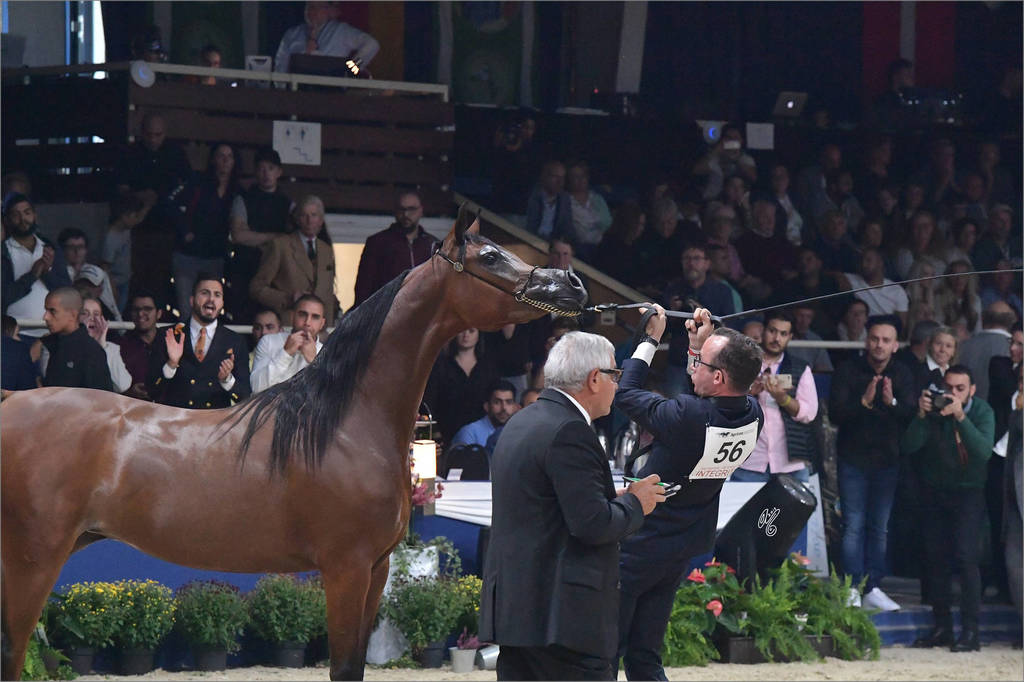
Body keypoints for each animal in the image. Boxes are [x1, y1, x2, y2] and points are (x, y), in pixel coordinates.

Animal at [0, 206, 587, 680]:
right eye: (489, 256)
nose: (574, 284)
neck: (346, 423)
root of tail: (12, 401)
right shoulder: (345, 569)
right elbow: (344, 668)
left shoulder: (375, 570)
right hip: (33, 560)